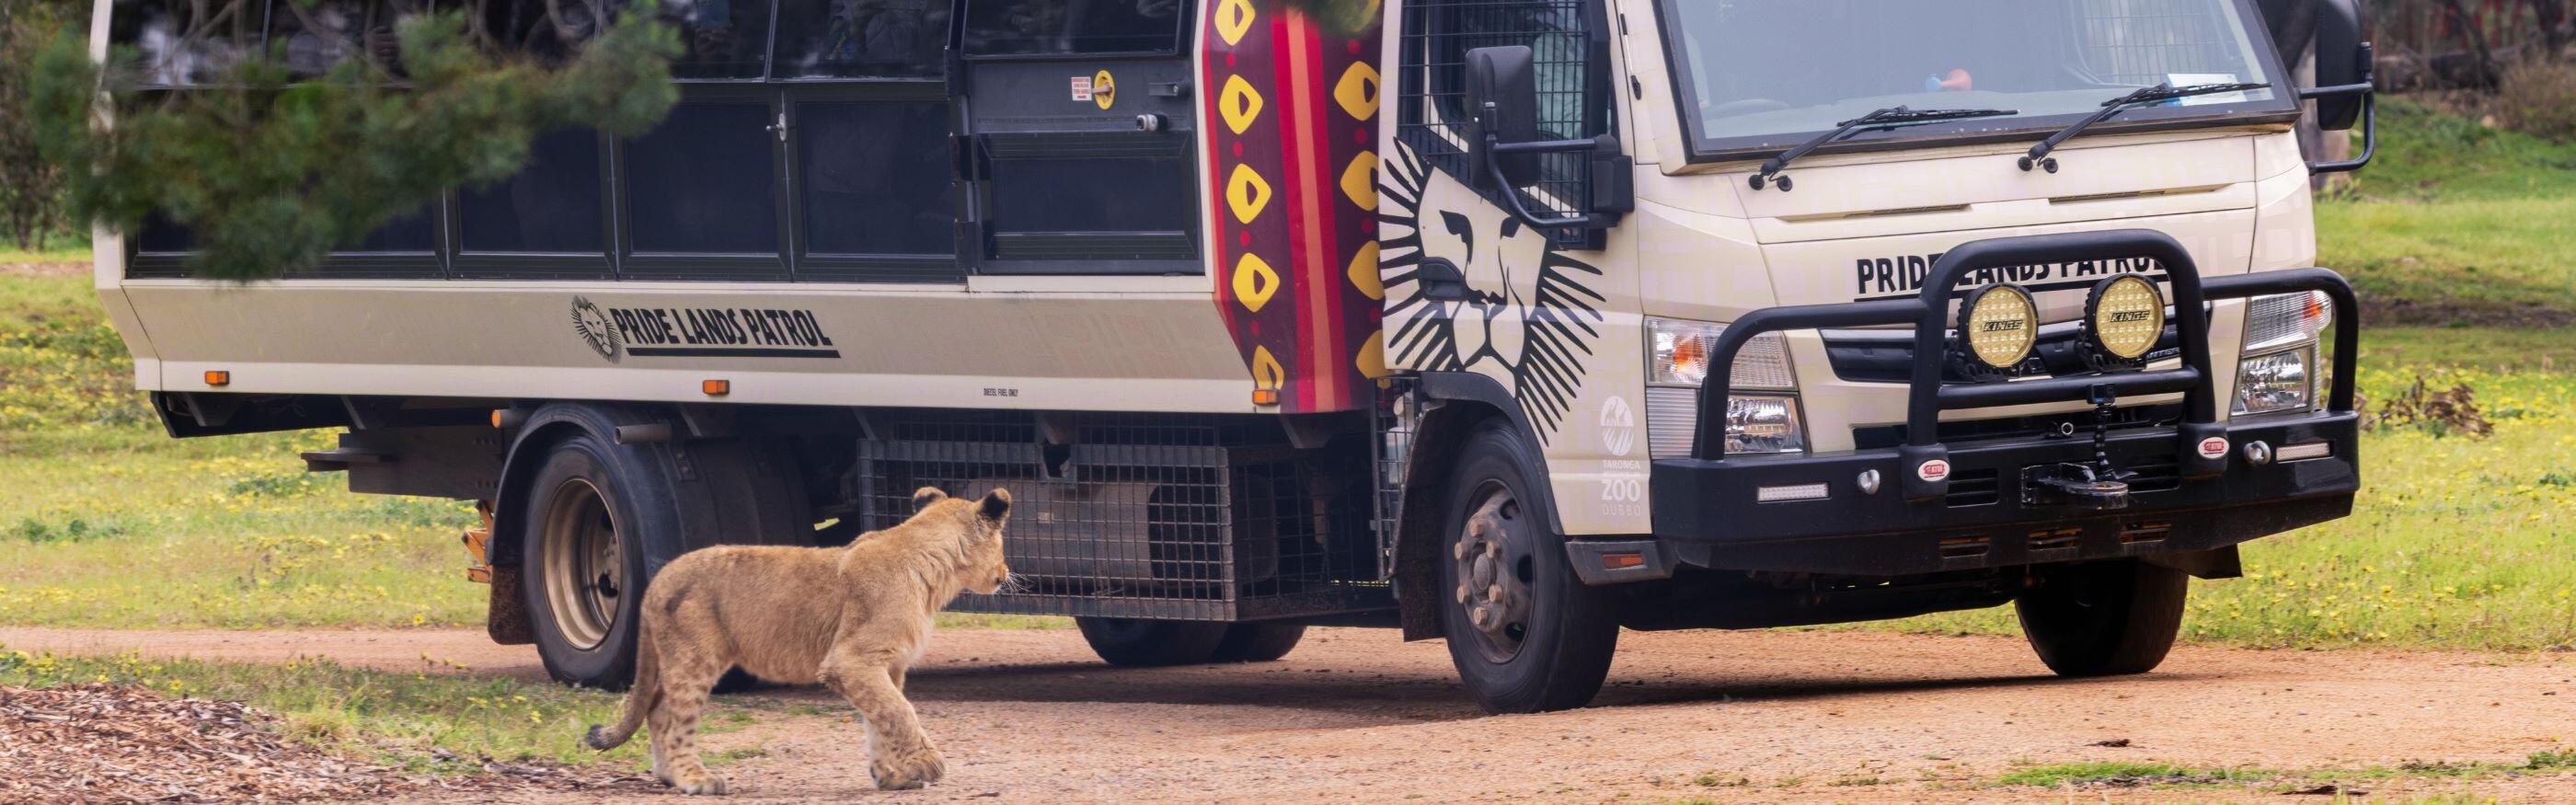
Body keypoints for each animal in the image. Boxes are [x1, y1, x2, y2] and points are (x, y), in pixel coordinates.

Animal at [583, 487, 1013, 795]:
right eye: (1002, 545)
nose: (1007, 572)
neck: (936, 571)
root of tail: (659, 577)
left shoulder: (883, 664)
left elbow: (879, 719)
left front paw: (890, 775)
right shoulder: (851, 659)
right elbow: (898, 712)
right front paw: (928, 763)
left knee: (656, 710)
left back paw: (669, 776)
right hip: (695, 657)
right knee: (673, 719)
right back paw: (694, 779)